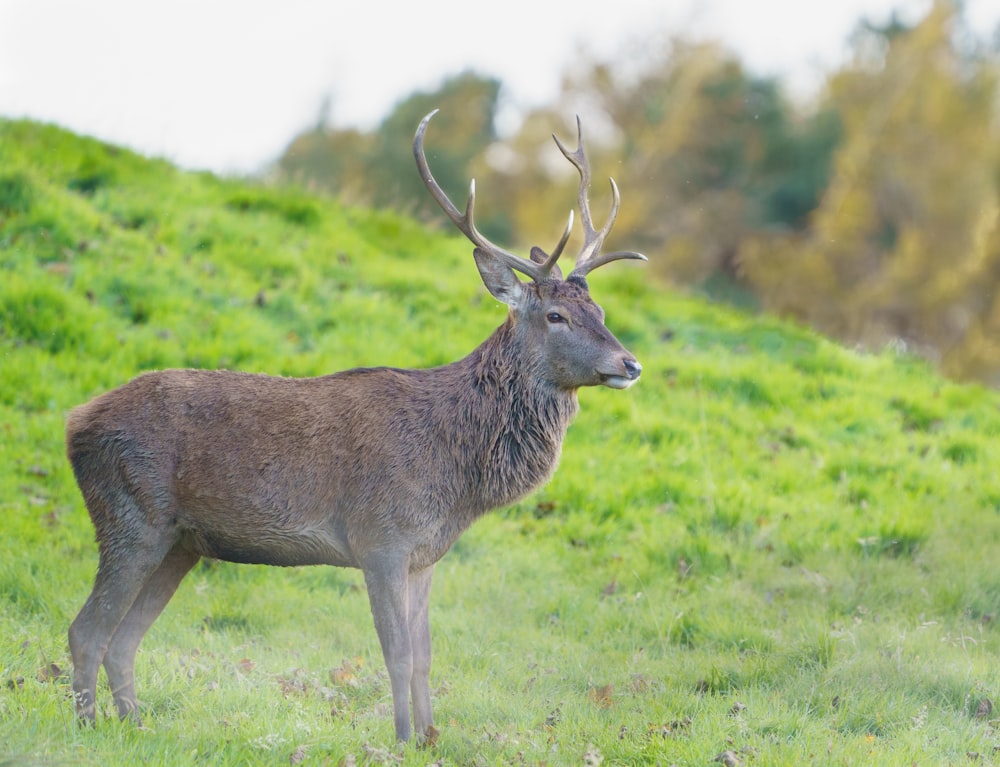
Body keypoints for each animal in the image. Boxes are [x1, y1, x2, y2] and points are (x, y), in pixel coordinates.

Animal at [66, 109, 644, 744]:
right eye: (556, 315)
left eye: (601, 312)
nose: (629, 364)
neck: (458, 478)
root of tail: (74, 422)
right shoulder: (380, 538)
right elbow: (396, 653)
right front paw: (401, 739)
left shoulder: (425, 554)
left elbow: (425, 655)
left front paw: (431, 739)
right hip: (130, 515)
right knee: (87, 630)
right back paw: (89, 728)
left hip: (181, 542)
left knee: (123, 639)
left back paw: (137, 727)